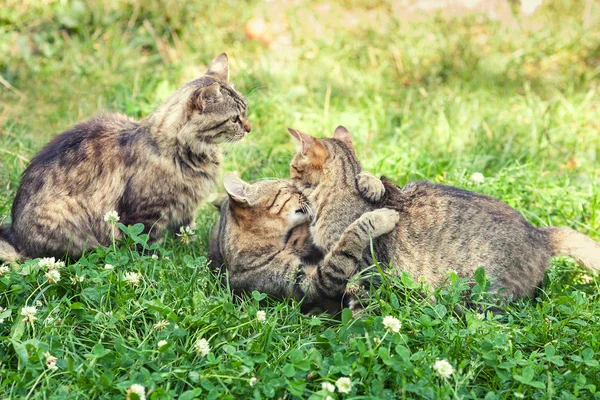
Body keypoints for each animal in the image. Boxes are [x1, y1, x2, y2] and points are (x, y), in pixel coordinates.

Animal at [0, 53, 248, 260]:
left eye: (245, 112)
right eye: (234, 119)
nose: (249, 128)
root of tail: (15, 236)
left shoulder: (186, 207)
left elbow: (186, 232)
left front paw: (193, 246)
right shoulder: (145, 213)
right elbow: (146, 244)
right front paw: (157, 261)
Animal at [209, 173, 400, 314]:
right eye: (286, 188)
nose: (301, 191)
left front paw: (370, 180)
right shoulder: (313, 282)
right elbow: (349, 239)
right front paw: (380, 217)